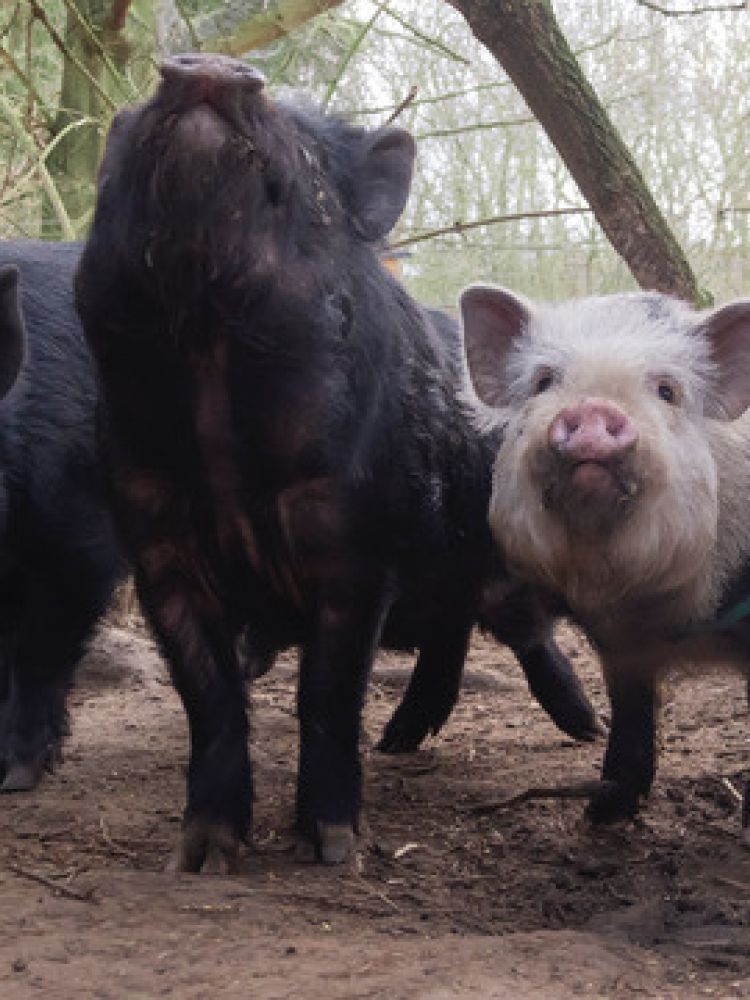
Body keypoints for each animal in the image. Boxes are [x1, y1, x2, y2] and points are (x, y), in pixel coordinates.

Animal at [75, 54, 597, 872]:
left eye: (304, 143)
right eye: (125, 124)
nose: (208, 68)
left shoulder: (356, 538)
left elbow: (327, 691)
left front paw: (335, 850)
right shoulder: (156, 541)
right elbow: (207, 696)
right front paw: (198, 859)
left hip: (498, 550)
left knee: (520, 626)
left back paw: (585, 732)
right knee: (450, 632)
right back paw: (399, 742)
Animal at [460, 283, 750, 823]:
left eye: (667, 390)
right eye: (543, 381)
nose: (593, 411)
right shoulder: (618, 645)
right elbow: (631, 716)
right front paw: (602, 814)